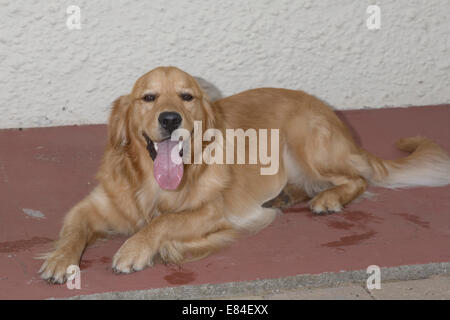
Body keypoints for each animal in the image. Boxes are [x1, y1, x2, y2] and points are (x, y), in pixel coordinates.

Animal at [39, 65, 450, 282]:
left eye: (187, 97)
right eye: (148, 97)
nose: (170, 119)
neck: (152, 187)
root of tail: (333, 116)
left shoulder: (212, 211)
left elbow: (163, 224)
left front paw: (138, 248)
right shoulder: (90, 206)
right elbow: (73, 229)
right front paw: (60, 259)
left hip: (305, 143)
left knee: (357, 179)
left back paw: (328, 198)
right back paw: (288, 195)